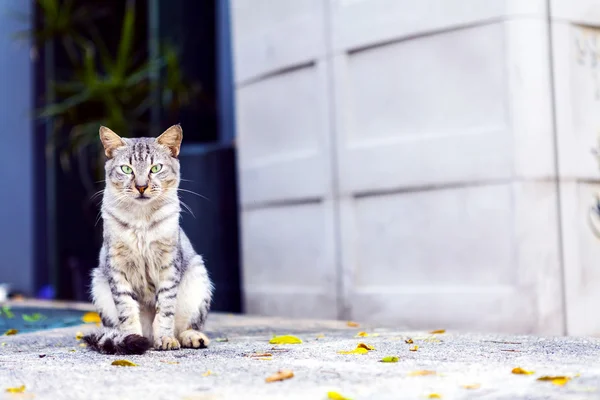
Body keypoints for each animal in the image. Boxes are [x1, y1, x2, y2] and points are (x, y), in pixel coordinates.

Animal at [82, 123, 213, 354]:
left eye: (155, 168)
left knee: (187, 326)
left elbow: (165, 310)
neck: (141, 219)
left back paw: (191, 337)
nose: (141, 186)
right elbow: (127, 311)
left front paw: (166, 339)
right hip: (98, 285)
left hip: (198, 279)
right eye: (126, 169)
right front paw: (132, 338)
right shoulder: (116, 265)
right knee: (114, 329)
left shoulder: (168, 264)